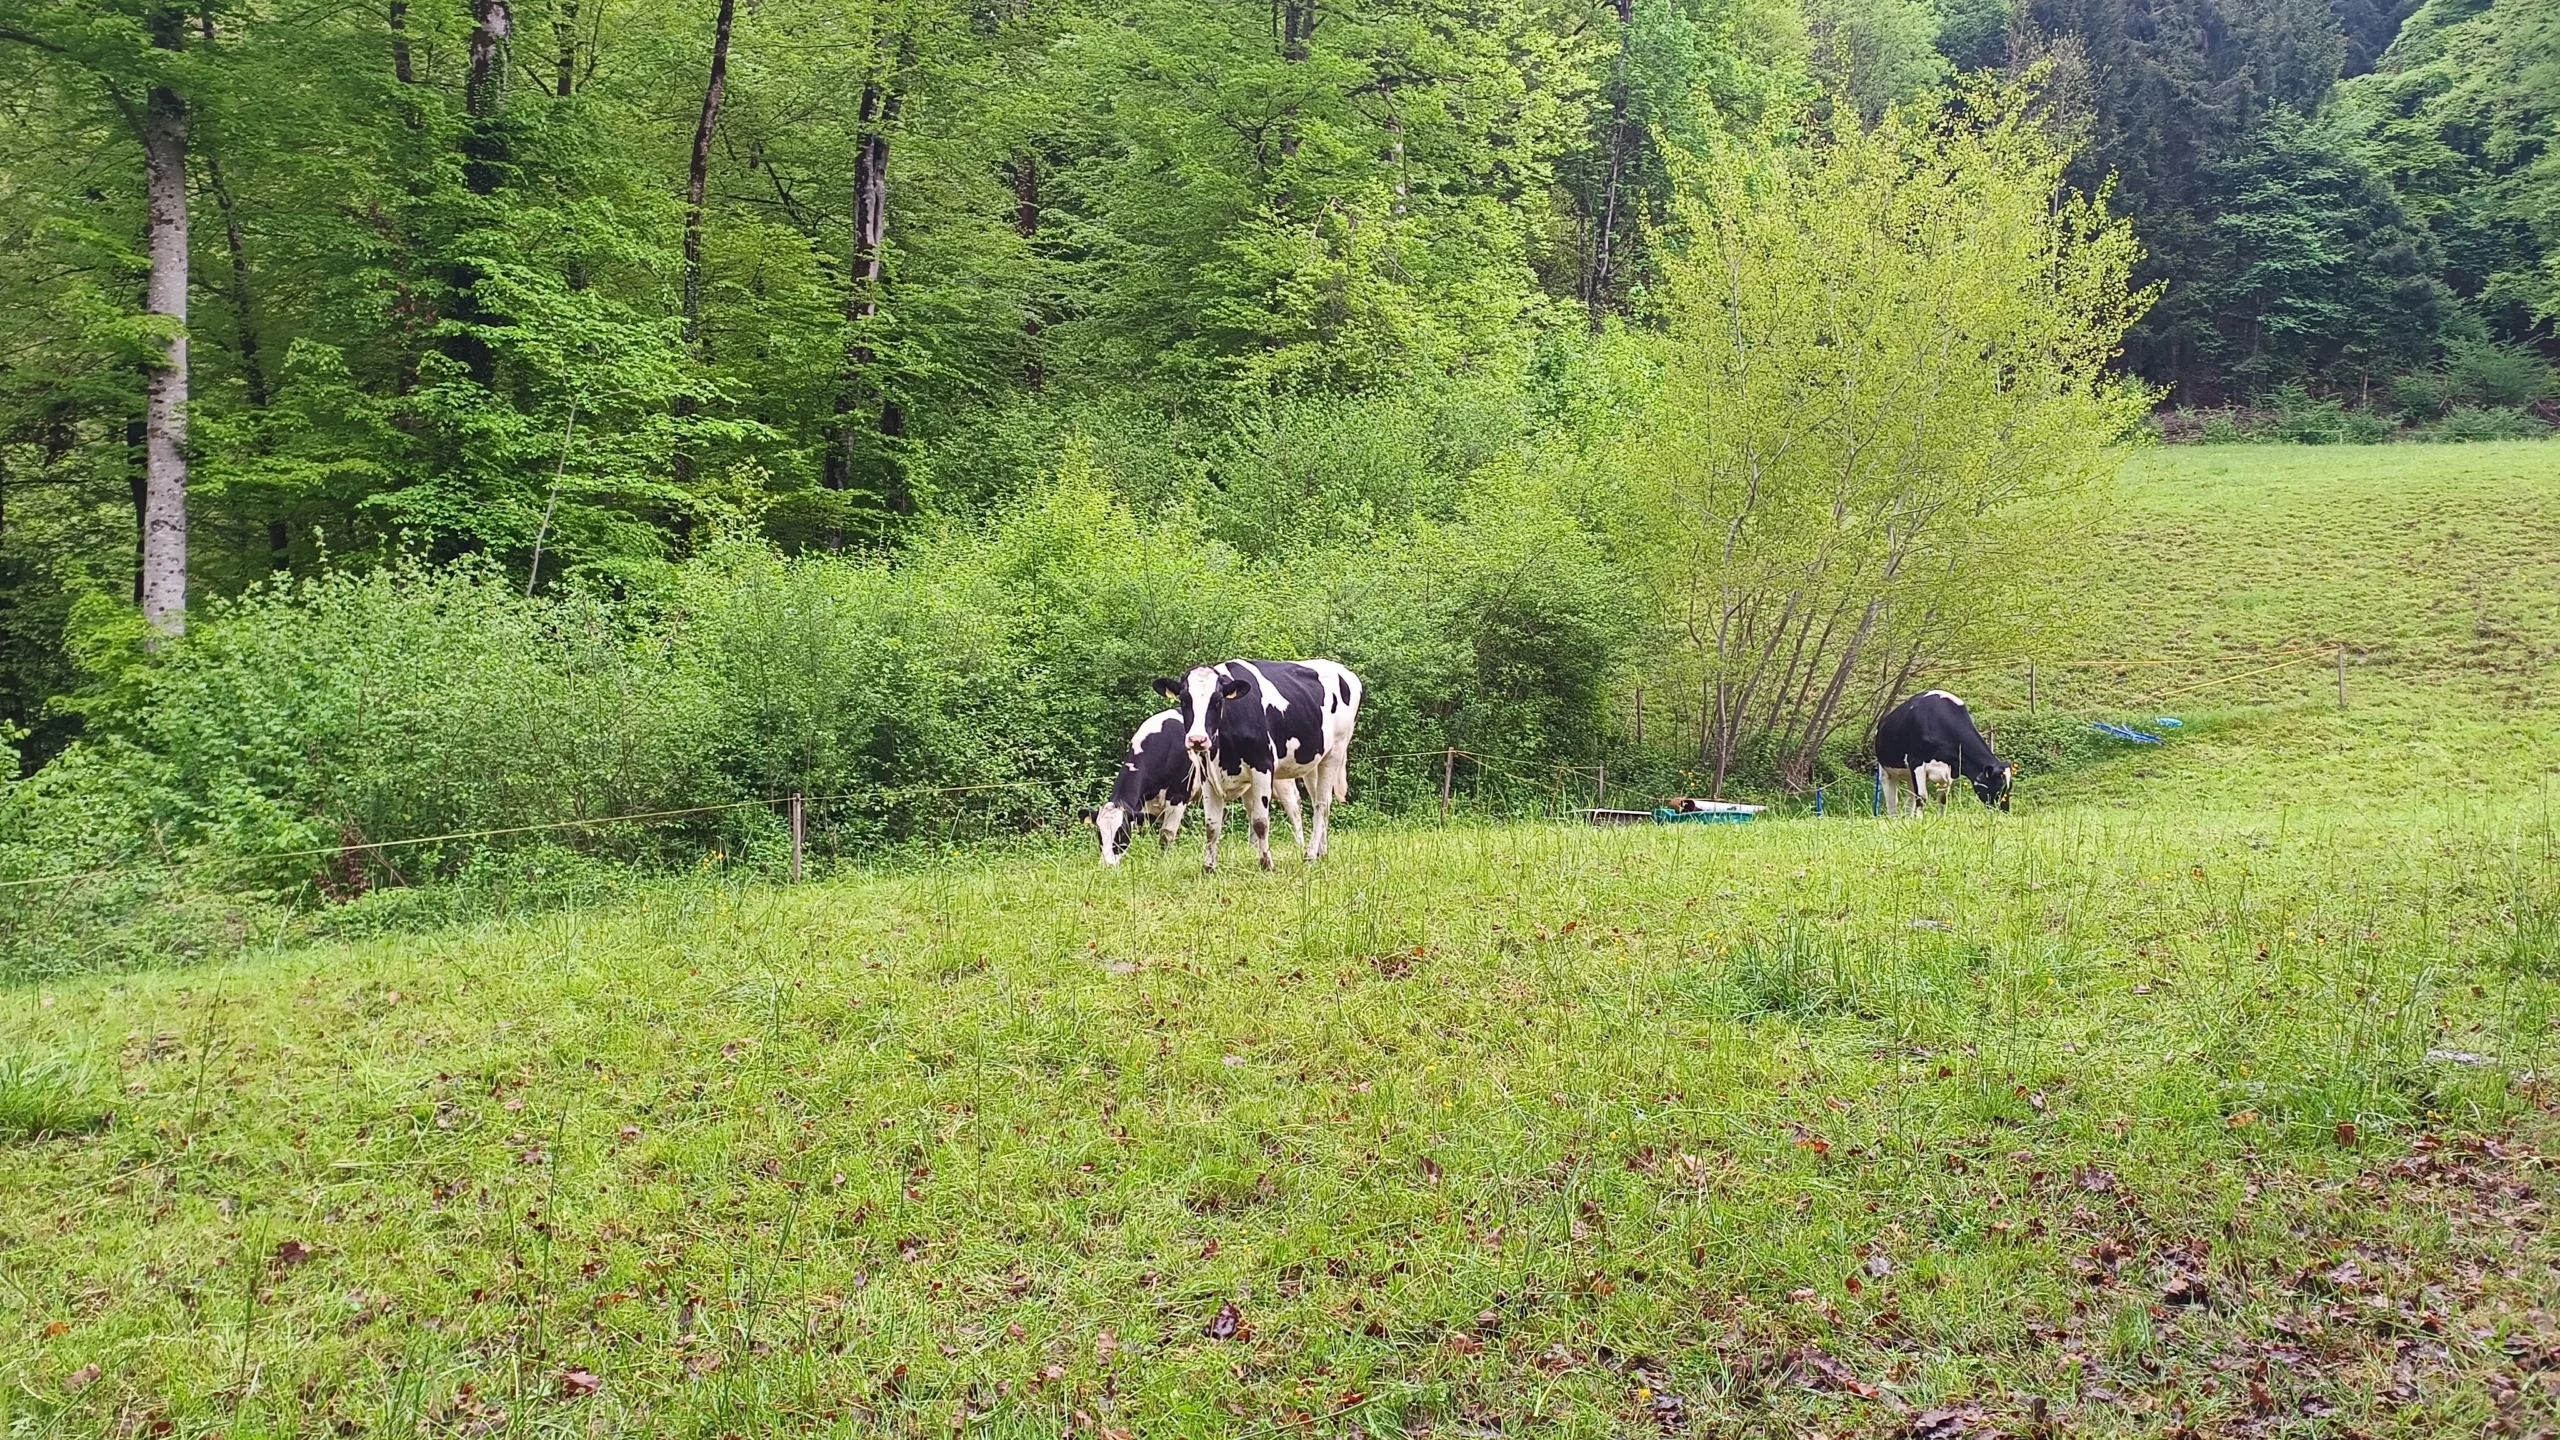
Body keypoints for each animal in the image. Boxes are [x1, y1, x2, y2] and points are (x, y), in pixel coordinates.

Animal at [1081, 709, 1307, 866]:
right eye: (1099, 834)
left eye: (1121, 833)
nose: (1106, 865)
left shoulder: (1178, 795)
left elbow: (1166, 835)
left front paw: (1163, 863)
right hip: (1250, 783)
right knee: (1254, 812)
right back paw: (1252, 850)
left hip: (1279, 778)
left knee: (1293, 808)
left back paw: (1300, 846)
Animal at [1155, 659, 1363, 872]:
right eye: (1184, 700)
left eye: (1218, 701)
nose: (1197, 739)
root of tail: (1343, 670)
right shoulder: (1207, 776)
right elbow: (1211, 826)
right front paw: (1208, 867)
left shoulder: (1263, 767)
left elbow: (1260, 821)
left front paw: (1266, 864)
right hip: (1313, 761)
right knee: (1322, 801)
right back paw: (1322, 852)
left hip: (1335, 751)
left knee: (1321, 804)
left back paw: (1310, 855)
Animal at [1874, 689, 2013, 815]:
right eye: (1998, 787)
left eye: (2009, 788)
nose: (2004, 811)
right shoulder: (1916, 762)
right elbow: (1922, 797)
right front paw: (1919, 822)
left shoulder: (1948, 771)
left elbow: (1942, 799)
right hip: (1885, 772)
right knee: (1892, 803)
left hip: (1909, 775)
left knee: (1910, 801)